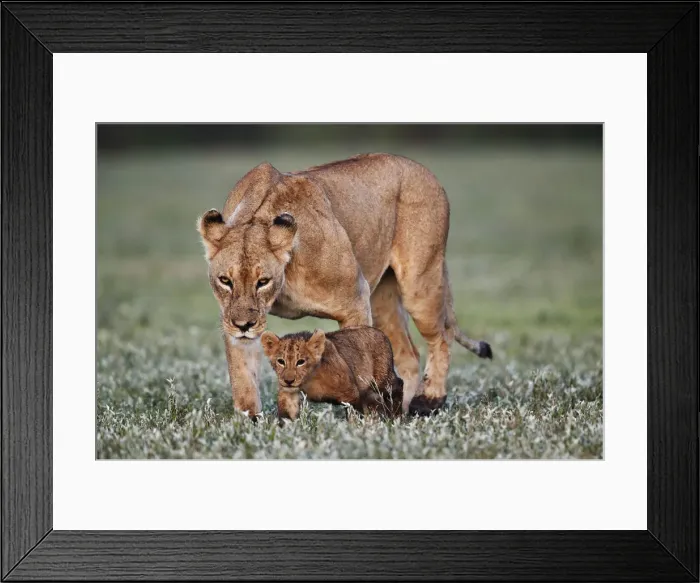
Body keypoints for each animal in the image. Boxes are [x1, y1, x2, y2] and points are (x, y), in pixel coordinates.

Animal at [197, 153, 492, 418]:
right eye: (225, 281)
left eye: (263, 282)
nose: (243, 325)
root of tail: (422, 168)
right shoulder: (232, 319)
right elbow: (243, 379)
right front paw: (251, 424)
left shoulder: (355, 299)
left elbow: (361, 359)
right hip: (382, 297)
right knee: (408, 355)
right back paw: (402, 413)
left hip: (420, 283)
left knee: (442, 337)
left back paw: (428, 401)